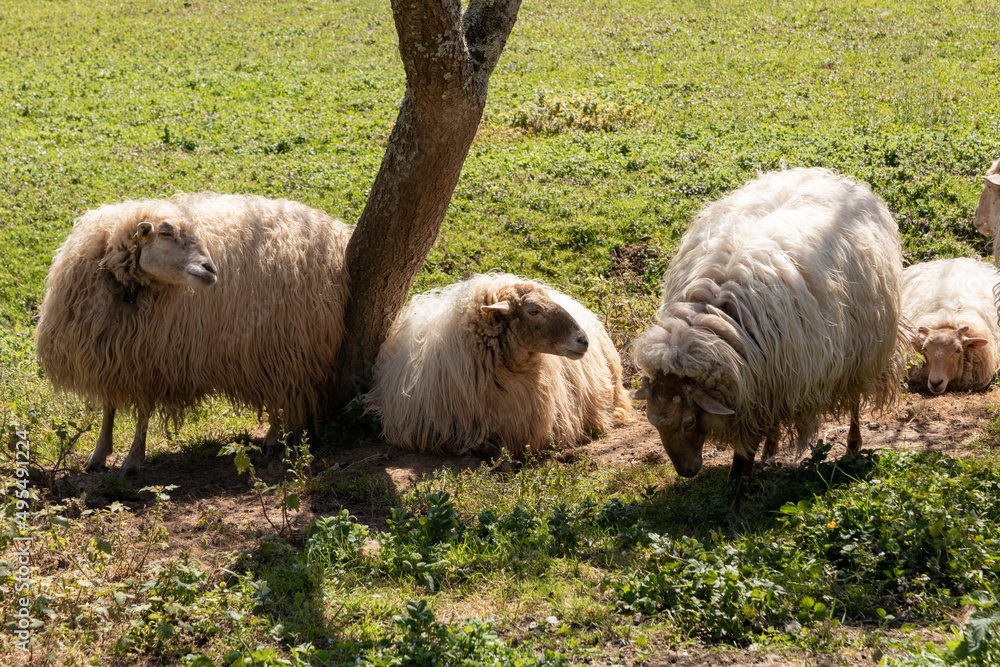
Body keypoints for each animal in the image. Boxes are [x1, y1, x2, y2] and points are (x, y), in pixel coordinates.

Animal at [35, 192, 351, 474]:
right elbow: (108, 408)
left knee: (282, 391)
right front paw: (99, 454)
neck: (128, 289)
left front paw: (133, 460)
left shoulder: (148, 360)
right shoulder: (113, 353)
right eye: (165, 232)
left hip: (284, 343)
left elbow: (142, 412)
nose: (210, 269)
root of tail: (335, 229)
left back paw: (273, 439)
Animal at [630, 167, 905, 501]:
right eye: (653, 423)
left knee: (854, 401)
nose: (687, 471)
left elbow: (748, 441)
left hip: (861, 351)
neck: (715, 316)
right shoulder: (758, 381)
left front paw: (739, 488)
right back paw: (770, 453)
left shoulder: (762, 386)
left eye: (689, 421)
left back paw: (852, 446)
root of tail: (827, 177)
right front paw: (738, 475)